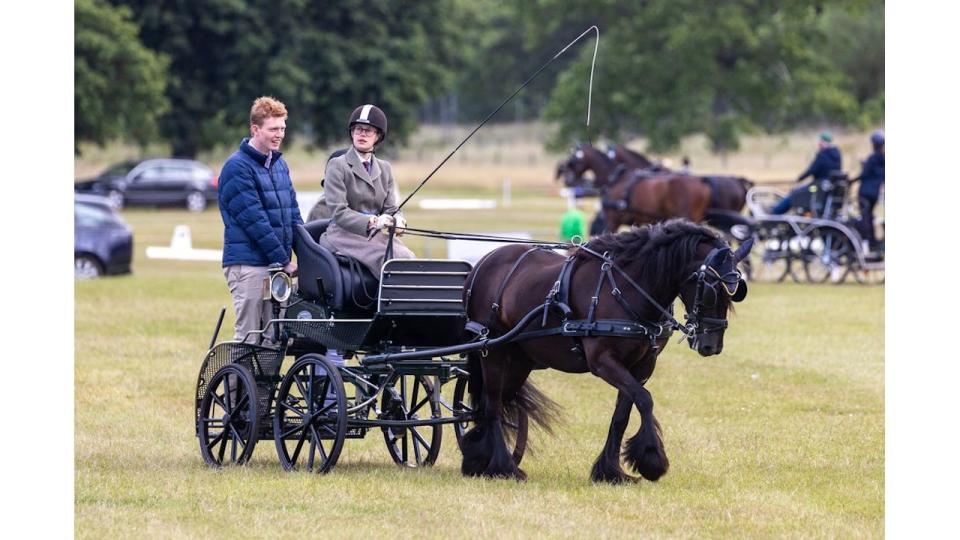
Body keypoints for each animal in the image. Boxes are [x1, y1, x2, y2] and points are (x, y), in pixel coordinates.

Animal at [462, 221, 752, 484]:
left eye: (737, 290)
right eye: (711, 289)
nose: (711, 345)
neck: (628, 288)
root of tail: (483, 263)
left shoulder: (642, 365)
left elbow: (622, 414)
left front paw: (611, 471)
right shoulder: (602, 361)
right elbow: (644, 399)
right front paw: (651, 460)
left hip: (520, 360)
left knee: (495, 402)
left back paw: (477, 457)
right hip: (493, 352)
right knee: (493, 404)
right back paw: (504, 467)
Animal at [556, 143, 712, 232]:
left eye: (573, 159)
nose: (568, 180)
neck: (617, 178)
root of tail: (701, 184)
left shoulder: (612, 220)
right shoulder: (637, 222)